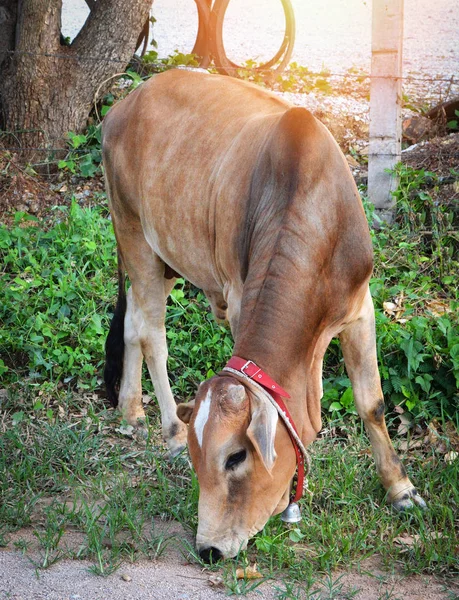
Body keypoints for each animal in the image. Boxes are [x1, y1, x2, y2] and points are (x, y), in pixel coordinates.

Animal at [102, 70, 426, 564]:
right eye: (199, 461)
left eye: (236, 457)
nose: (209, 549)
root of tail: (126, 102)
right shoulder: (239, 301)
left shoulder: (360, 307)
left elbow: (371, 403)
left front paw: (401, 490)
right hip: (133, 233)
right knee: (153, 333)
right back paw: (170, 429)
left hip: (165, 259)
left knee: (134, 323)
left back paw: (131, 410)